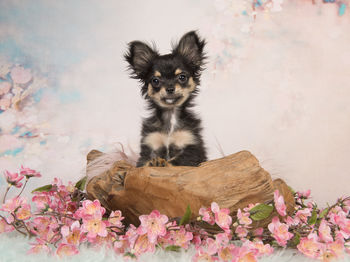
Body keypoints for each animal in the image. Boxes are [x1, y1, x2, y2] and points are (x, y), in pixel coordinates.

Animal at [125, 30, 206, 166]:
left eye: (182, 77)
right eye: (155, 81)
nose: (170, 88)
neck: (170, 116)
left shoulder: (191, 148)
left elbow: (175, 161)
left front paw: (162, 163)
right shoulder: (150, 145)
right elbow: (144, 163)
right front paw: (155, 163)